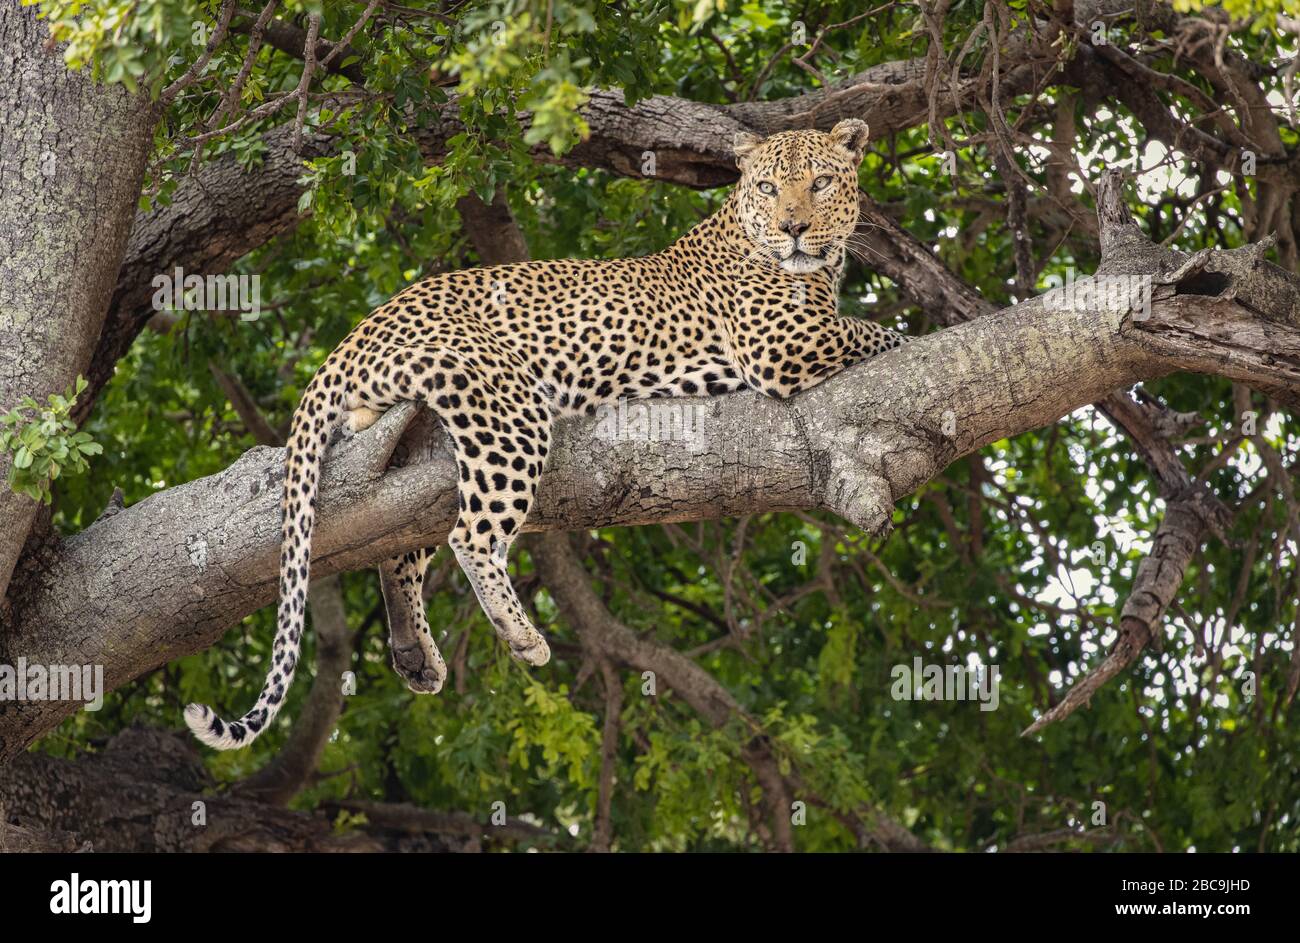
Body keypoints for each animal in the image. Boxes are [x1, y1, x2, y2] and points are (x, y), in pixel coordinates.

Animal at [185, 117, 904, 749]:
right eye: (769, 188)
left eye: (821, 182)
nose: (793, 228)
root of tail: (354, 334)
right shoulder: (784, 345)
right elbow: (880, 332)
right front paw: (919, 330)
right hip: (506, 412)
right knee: (470, 535)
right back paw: (522, 635)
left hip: (424, 449)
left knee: (400, 546)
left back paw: (415, 652)